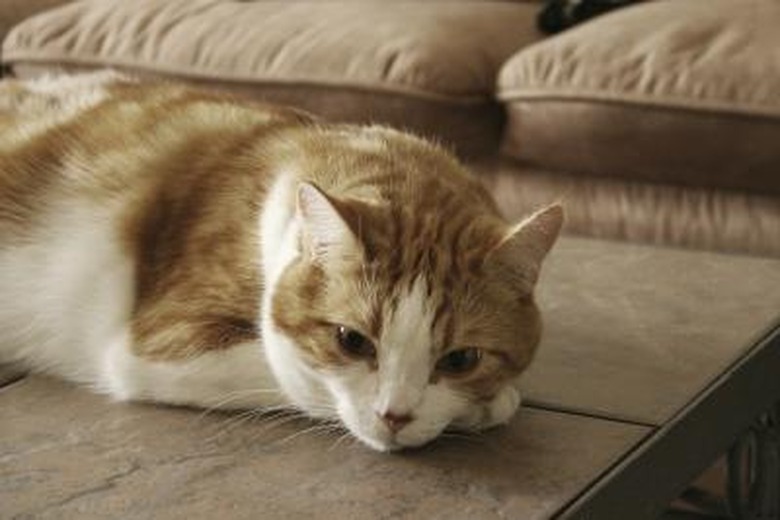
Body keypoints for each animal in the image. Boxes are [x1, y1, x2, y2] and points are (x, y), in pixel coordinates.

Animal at [0, 72, 560, 450]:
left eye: (461, 360)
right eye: (351, 341)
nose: (395, 416)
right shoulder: (155, 345)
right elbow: (296, 375)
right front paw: (492, 405)